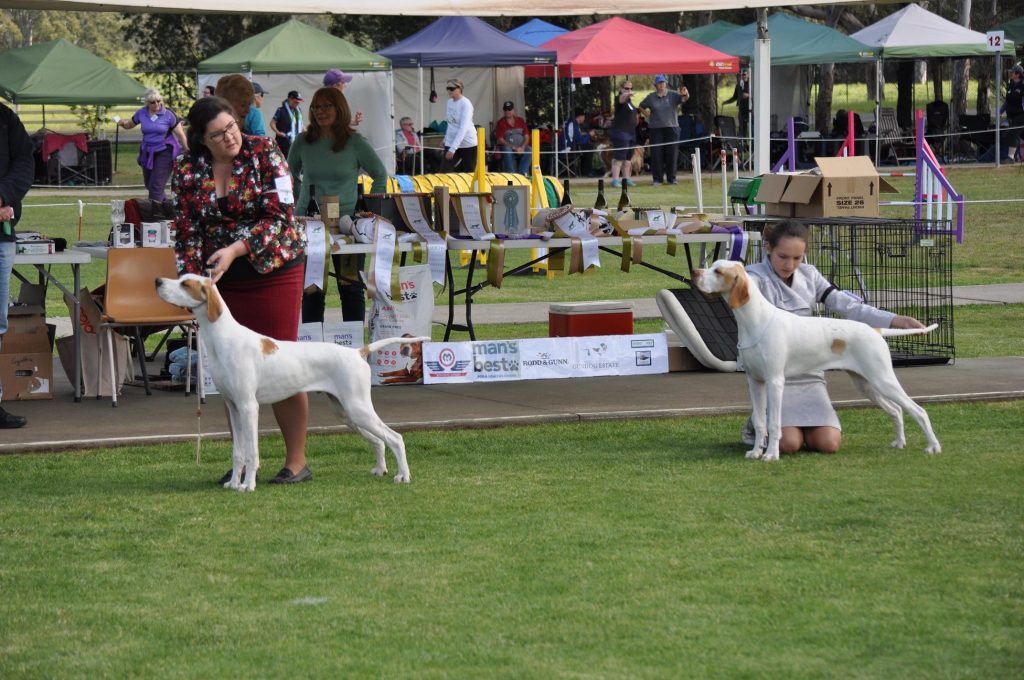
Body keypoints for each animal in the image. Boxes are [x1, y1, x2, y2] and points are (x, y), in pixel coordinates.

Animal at [152, 274, 423, 491]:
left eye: (186, 284)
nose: (157, 281)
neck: (224, 339)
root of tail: (357, 352)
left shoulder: (249, 407)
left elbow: (251, 452)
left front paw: (247, 485)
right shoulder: (233, 407)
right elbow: (238, 452)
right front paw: (233, 482)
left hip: (358, 409)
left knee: (395, 438)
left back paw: (403, 476)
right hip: (346, 412)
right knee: (378, 440)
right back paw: (380, 469)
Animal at [692, 260, 937, 462]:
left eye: (718, 271)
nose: (694, 272)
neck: (755, 321)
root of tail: (875, 330)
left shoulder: (774, 382)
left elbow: (774, 423)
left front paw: (771, 454)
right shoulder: (755, 382)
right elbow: (761, 422)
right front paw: (755, 452)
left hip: (883, 379)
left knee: (919, 411)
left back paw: (933, 447)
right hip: (866, 384)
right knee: (896, 410)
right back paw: (899, 442)